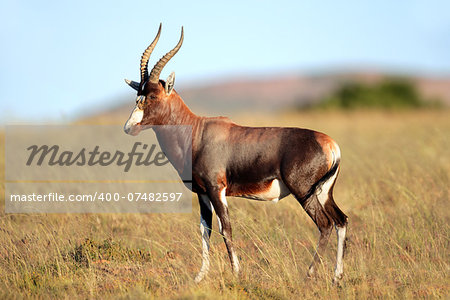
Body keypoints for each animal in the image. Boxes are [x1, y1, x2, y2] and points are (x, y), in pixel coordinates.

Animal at [122, 24, 348, 284]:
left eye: (153, 96)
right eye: (137, 94)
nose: (129, 127)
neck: (198, 131)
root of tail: (330, 144)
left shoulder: (216, 189)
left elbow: (226, 228)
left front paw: (237, 273)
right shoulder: (203, 193)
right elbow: (205, 230)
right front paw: (200, 277)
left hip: (304, 192)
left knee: (325, 224)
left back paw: (309, 275)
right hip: (323, 192)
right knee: (341, 220)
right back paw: (337, 277)